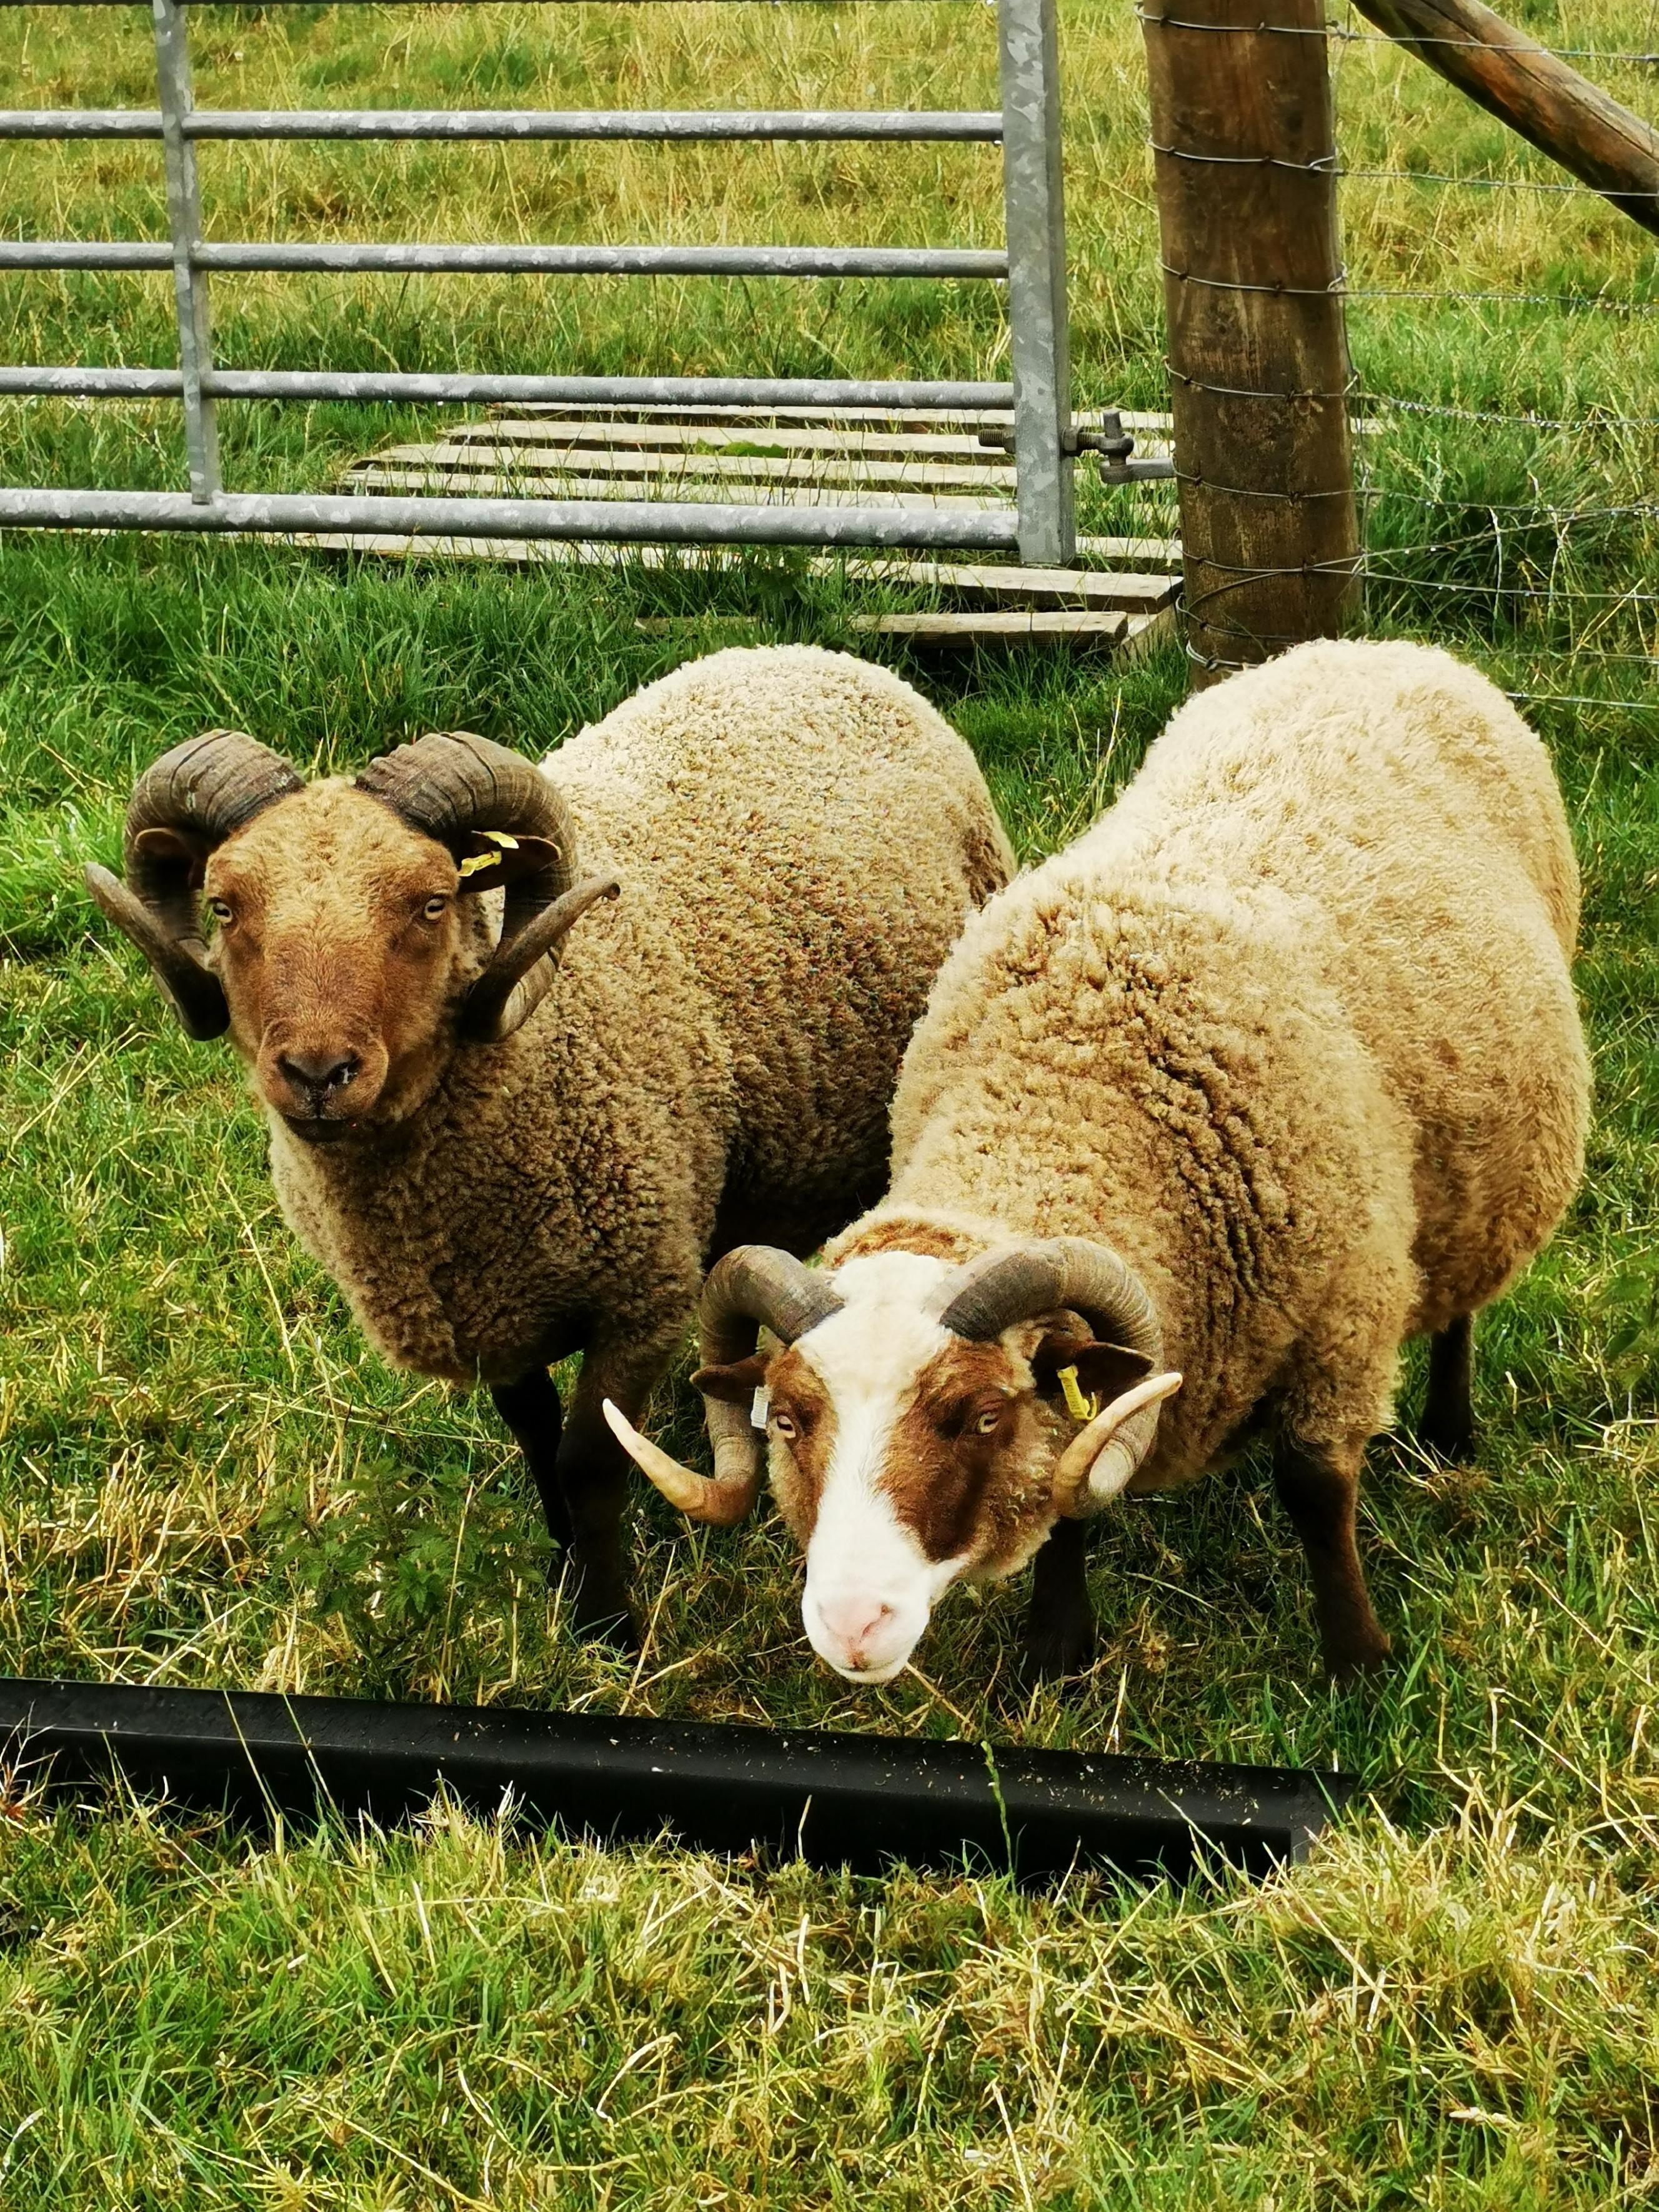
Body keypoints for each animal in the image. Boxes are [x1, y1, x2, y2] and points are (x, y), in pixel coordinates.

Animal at [87, 644, 1014, 1648]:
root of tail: (824, 657)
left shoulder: (638, 1298)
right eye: (224, 906)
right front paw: (567, 1571)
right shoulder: (499, 1316)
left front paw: (609, 1625)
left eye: (430, 903)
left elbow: (588, 1461)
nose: (317, 1071)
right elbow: (535, 1443)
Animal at [608, 639, 1590, 1685]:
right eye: (790, 1419)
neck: (1067, 1082)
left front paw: (1356, 1660)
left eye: (980, 1416)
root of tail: (1381, 647)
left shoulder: (1343, 1322)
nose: (853, 1624)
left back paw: (1449, 1428)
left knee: (1464, 1300)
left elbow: (1315, 1491)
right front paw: (1056, 1647)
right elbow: (1072, 1468)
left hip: (1481, 1174)